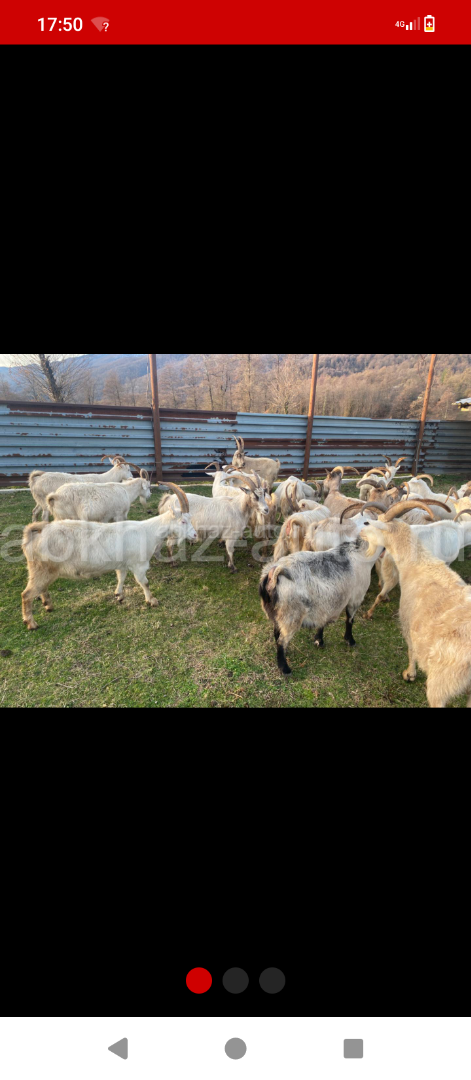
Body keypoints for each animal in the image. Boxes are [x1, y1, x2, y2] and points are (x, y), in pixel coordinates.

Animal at [21, 483, 197, 629]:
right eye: (183, 521)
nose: (194, 535)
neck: (148, 531)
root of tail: (36, 532)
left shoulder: (122, 563)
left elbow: (121, 577)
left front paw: (119, 595)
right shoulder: (138, 565)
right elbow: (144, 582)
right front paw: (152, 601)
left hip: (43, 570)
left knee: (41, 588)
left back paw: (48, 605)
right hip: (41, 569)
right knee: (26, 594)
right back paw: (31, 623)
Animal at [259, 536, 385, 676]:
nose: (385, 549)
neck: (363, 551)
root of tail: (272, 575)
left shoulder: (326, 603)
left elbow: (322, 621)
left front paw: (319, 640)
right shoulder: (355, 599)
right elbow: (350, 620)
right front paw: (350, 640)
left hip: (278, 614)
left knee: (277, 634)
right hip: (291, 615)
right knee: (282, 641)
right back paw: (285, 668)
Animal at [359, 515, 471, 707]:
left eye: (373, 524)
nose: (360, 531)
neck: (417, 565)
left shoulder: (408, 622)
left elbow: (411, 651)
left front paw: (410, 674)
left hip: (442, 681)